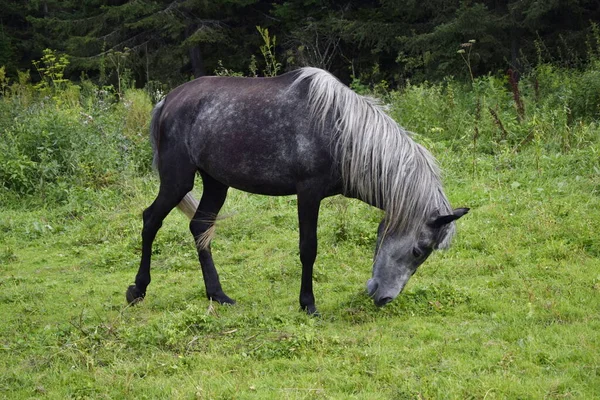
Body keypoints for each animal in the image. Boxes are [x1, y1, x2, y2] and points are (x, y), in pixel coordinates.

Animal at [124, 67, 466, 314]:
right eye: (419, 250)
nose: (383, 298)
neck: (340, 132)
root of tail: (169, 100)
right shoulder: (308, 194)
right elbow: (308, 248)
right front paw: (308, 304)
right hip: (177, 180)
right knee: (150, 220)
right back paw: (137, 290)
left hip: (216, 183)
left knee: (199, 227)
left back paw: (218, 294)